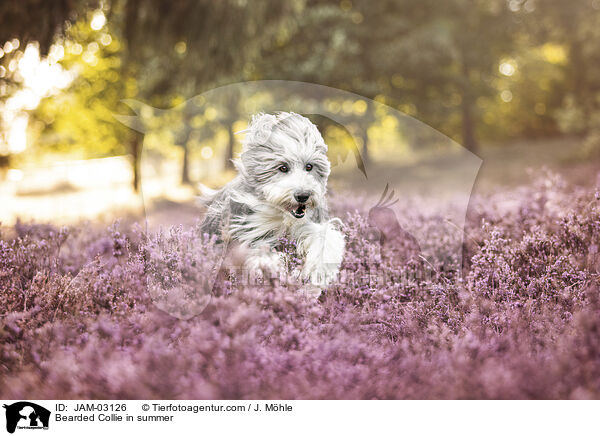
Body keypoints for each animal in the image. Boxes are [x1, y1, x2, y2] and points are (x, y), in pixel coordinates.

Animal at [200, 111, 344, 290]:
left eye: (309, 167)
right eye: (283, 168)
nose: (303, 195)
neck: (282, 216)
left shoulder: (309, 223)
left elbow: (326, 237)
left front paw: (318, 271)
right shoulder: (247, 228)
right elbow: (259, 251)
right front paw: (278, 270)